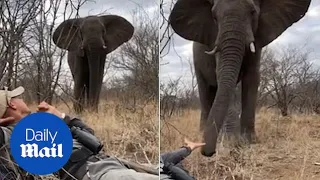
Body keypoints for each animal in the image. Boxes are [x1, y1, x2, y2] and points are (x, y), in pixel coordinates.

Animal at [169, 0, 312, 157]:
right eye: (214, 16)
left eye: (253, 12)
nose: (208, 152)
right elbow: (222, 76)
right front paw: (230, 139)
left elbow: (252, 77)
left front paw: (248, 141)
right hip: (197, 63)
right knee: (205, 90)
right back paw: (202, 132)